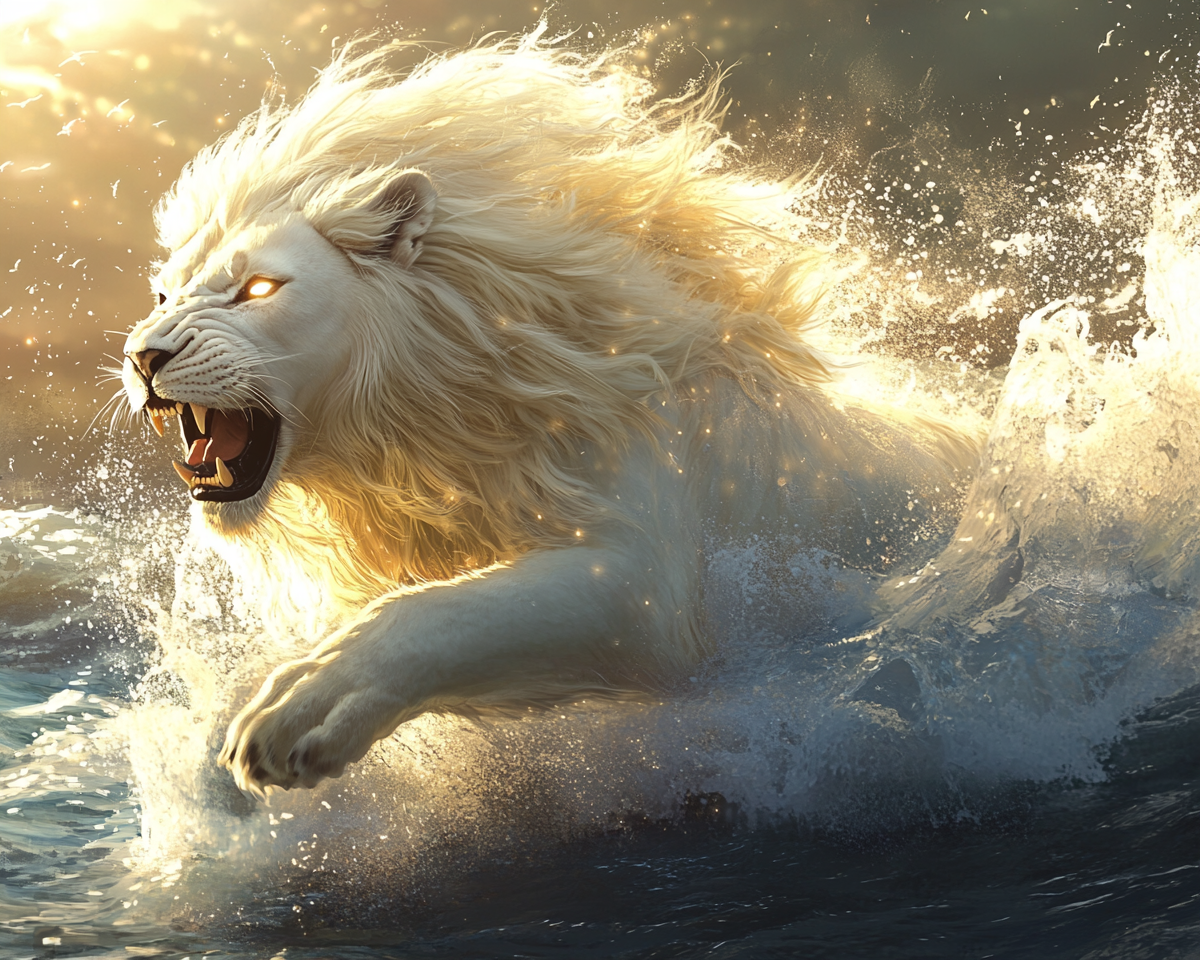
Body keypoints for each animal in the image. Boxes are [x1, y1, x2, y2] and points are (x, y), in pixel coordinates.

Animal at [120, 32, 976, 798]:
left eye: (257, 289)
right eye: (162, 293)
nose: (143, 357)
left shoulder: (647, 581)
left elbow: (439, 615)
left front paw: (302, 713)